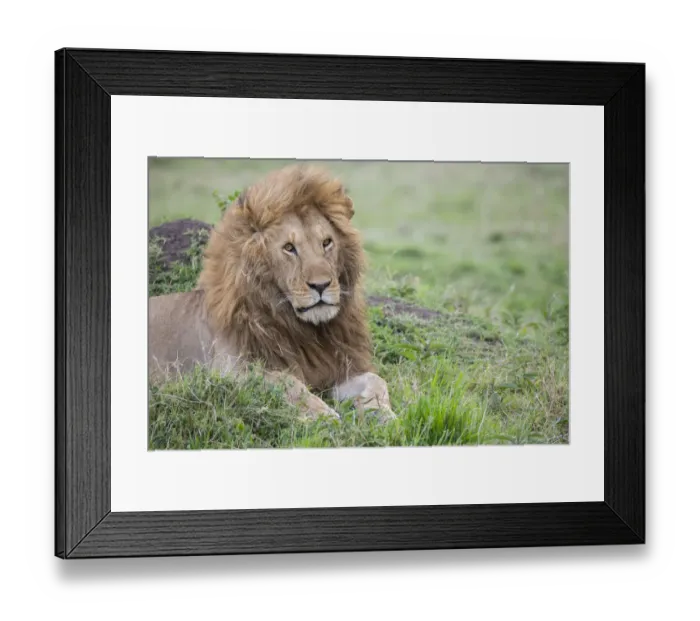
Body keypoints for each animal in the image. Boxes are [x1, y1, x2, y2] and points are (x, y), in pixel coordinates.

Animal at [148, 164, 396, 422]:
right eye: (289, 248)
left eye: (327, 242)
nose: (321, 285)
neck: (306, 332)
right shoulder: (229, 372)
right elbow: (289, 383)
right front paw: (326, 417)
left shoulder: (339, 367)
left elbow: (377, 381)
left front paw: (383, 415)